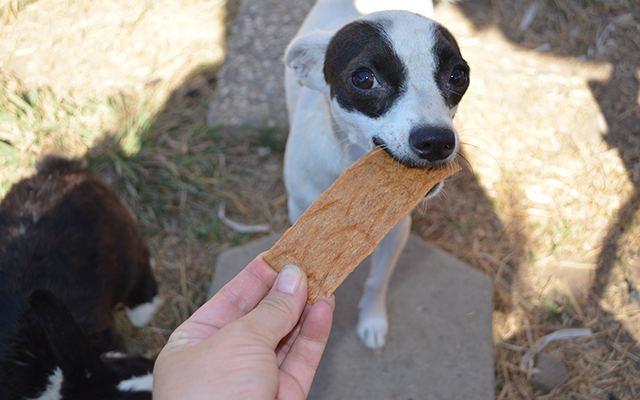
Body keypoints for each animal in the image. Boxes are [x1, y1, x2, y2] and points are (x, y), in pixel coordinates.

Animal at [284, 0, 470, 348]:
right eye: (363, 78)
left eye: (458, 75)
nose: (437, 141)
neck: (352, 164)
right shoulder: (299, 213)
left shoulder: (396, 231)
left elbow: (377, 281)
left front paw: (371, 319)